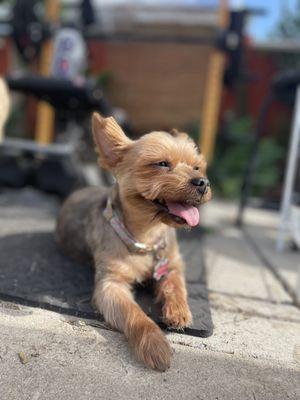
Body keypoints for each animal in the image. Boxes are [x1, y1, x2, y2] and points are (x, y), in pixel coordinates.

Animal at [56, 111, 211, 368]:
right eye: (162, 164)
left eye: (196, 167)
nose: (203, 182)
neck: (146, 236)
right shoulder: (111, 285)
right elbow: (134, 312)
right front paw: (154, 343)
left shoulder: (172, 264)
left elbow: (175, 285)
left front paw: (178, 310)